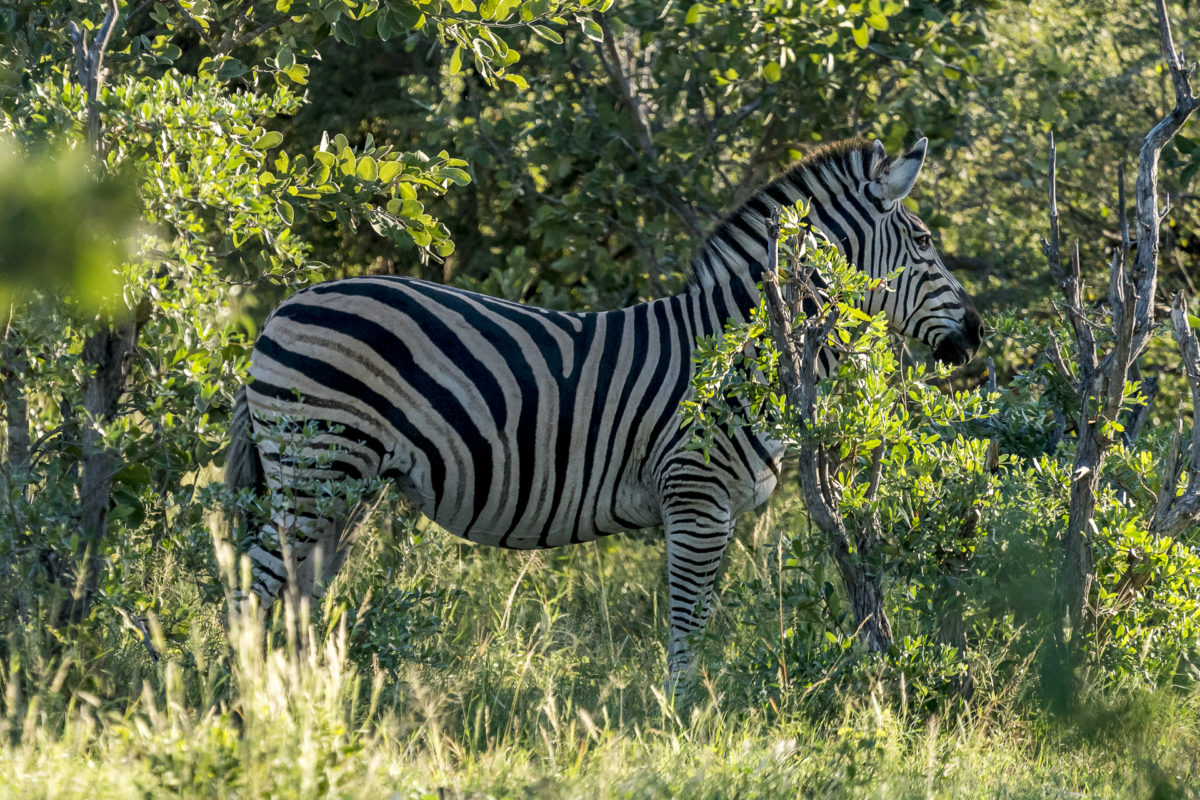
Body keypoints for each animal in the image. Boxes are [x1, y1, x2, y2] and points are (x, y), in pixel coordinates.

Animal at [226, 137, 984, 695]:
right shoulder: (697, 498)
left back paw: (300, 698)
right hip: (313, 465)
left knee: (296, 595)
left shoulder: (713, 509)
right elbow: (686, 626)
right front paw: (682, 723)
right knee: (255, 591)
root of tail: (284, 306)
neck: (748, 347)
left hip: (344, 484)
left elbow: (695, 621)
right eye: (922, 242)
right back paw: (249, 704)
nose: (978, 335)